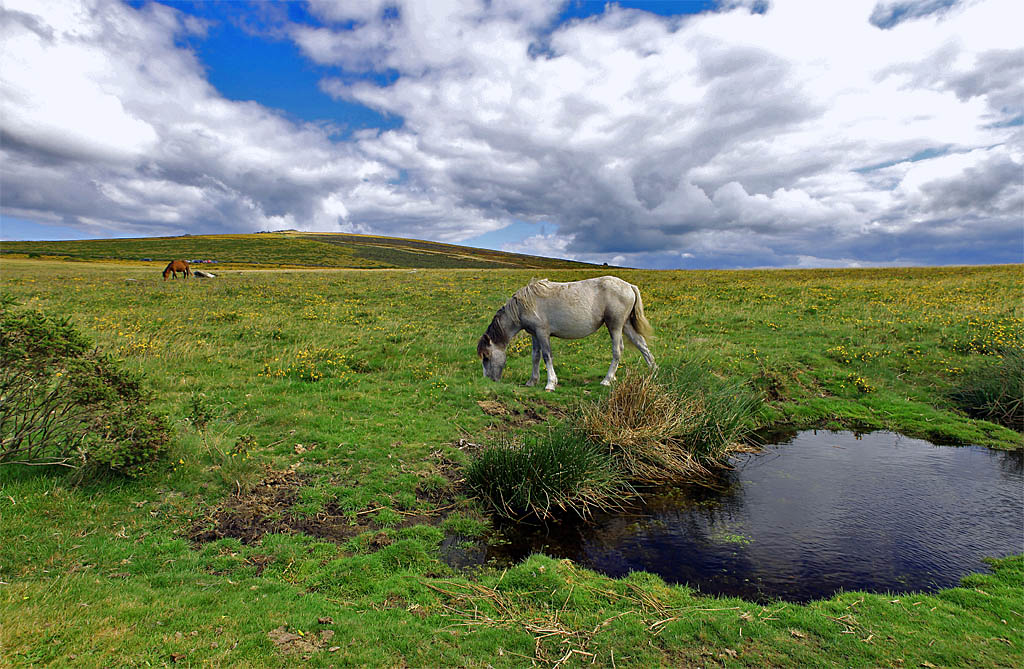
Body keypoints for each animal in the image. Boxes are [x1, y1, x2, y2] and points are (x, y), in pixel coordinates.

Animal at [477, 276, 655, 391]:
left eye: (486, 357)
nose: (489, 380)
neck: (524, 305)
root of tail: (629, 286)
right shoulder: (534, 334)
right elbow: (535, 357)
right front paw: (532, 381)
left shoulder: (542, 333)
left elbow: (547, 356)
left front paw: (550, 383)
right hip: (625, 325)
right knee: (642, 344)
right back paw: (653, 371)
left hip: (615, 325)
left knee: (617, 351)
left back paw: (607, 379)